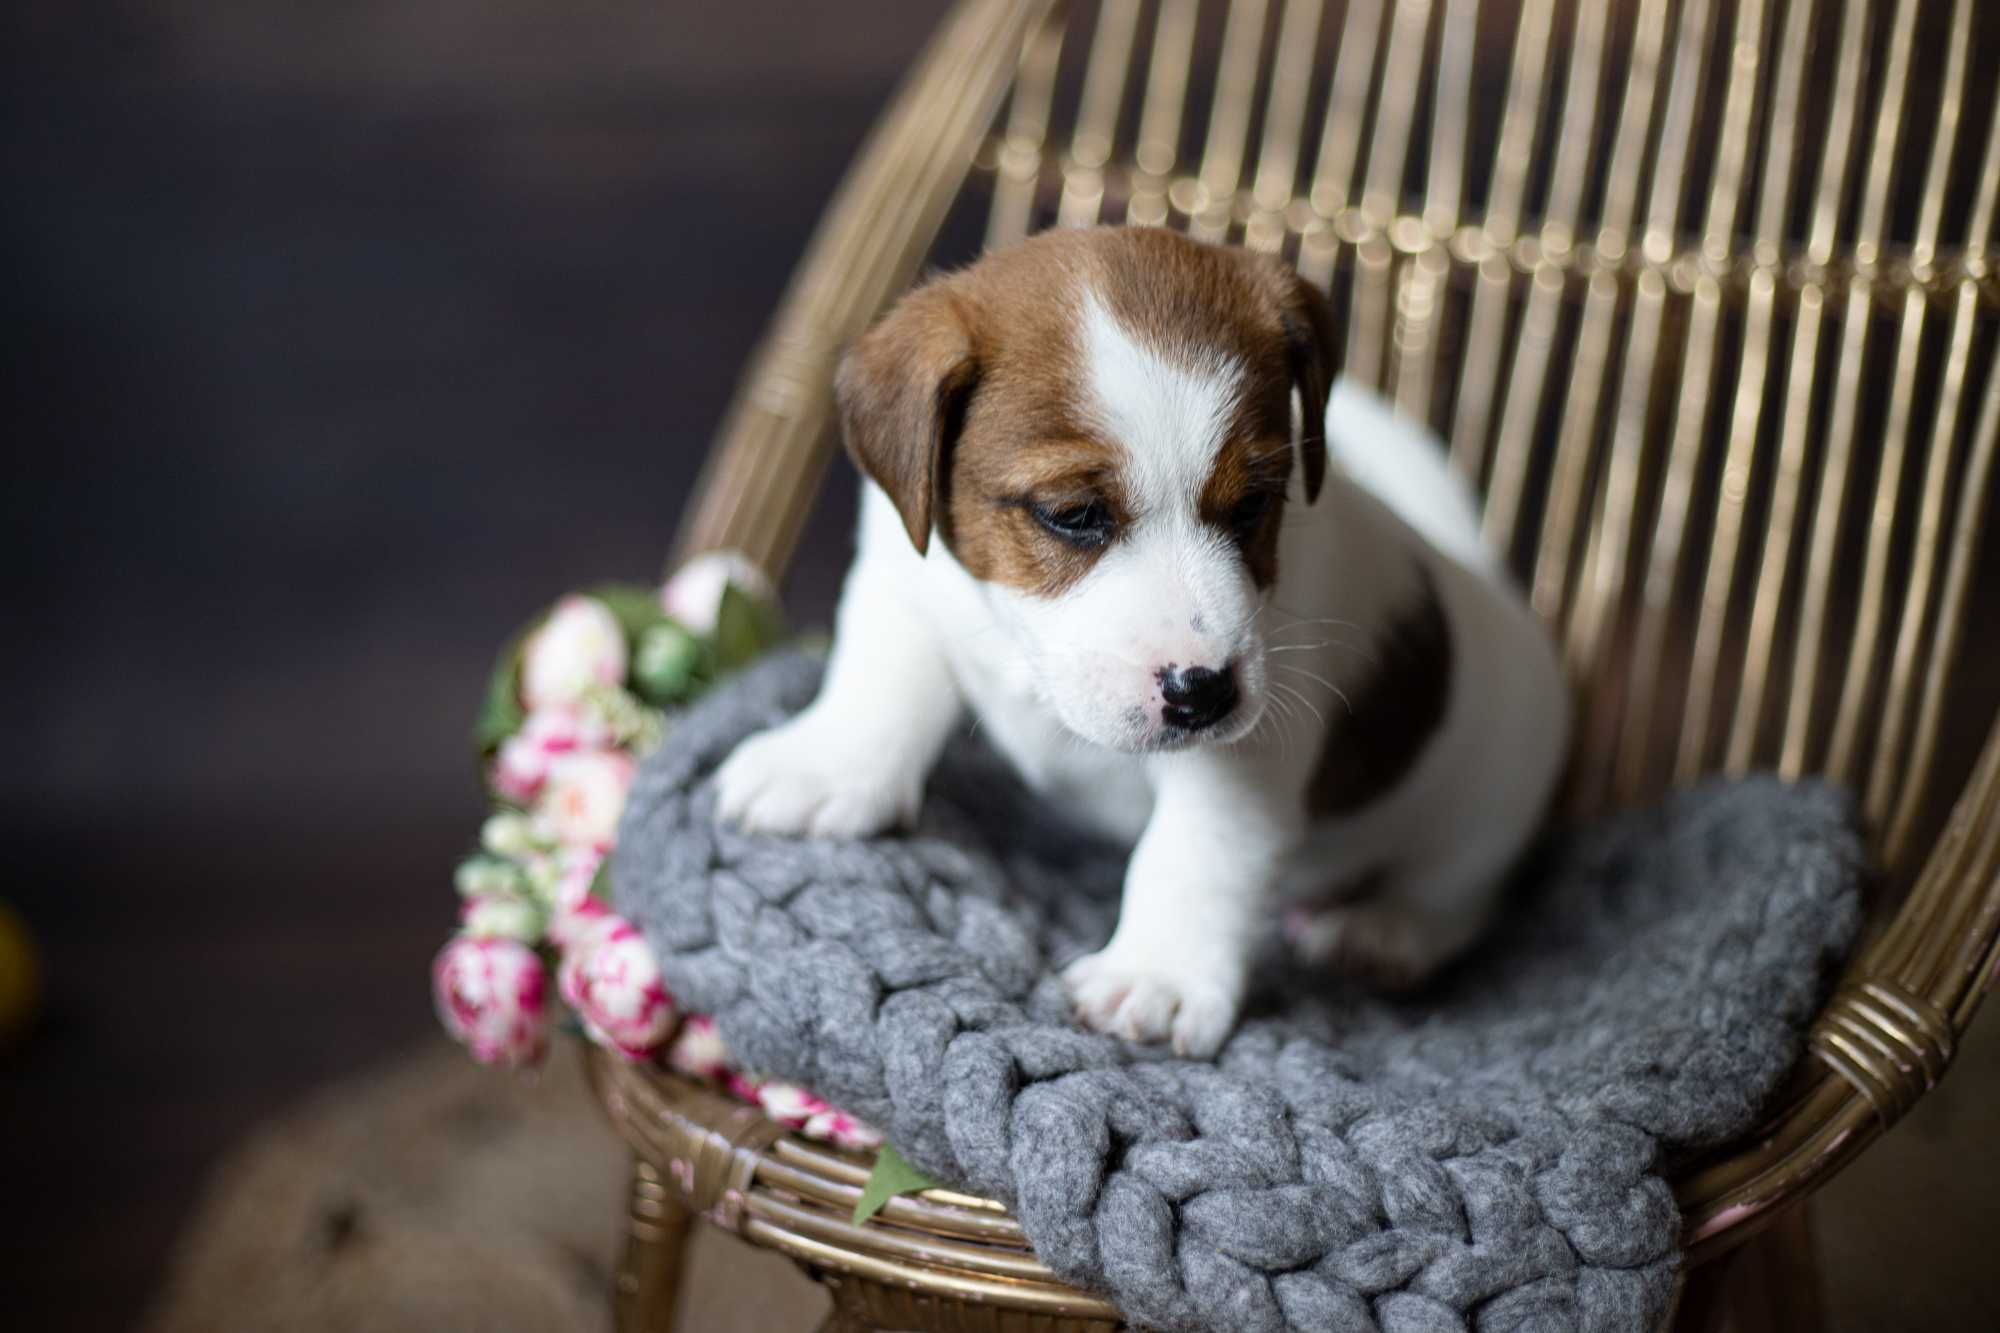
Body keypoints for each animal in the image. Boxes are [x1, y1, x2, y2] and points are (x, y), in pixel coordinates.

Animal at [712, 231, 1568, 1056]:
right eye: (1073, 514)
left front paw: (1160, 973)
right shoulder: (903, 572)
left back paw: (1389, 929)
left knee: (1459, 890)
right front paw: (826, 763)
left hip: (1488, 806)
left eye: (1255, 502)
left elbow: (1193, 855)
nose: (1204, 692)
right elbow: (881, 675)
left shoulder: (1246, 757)